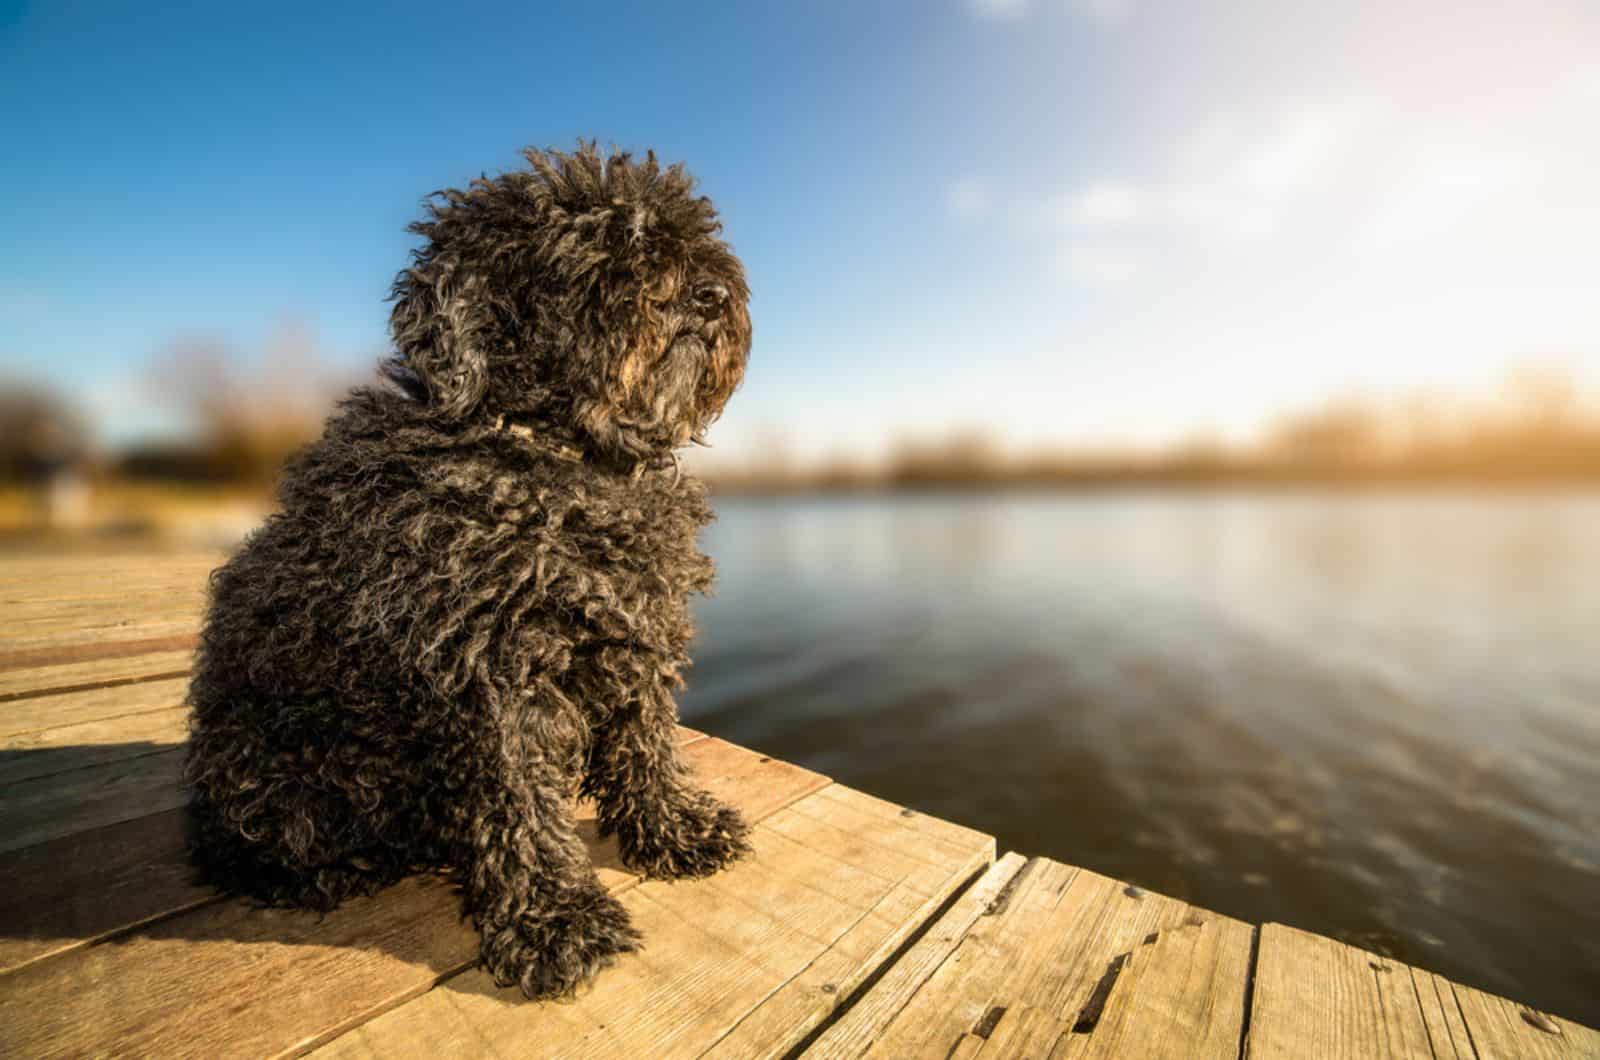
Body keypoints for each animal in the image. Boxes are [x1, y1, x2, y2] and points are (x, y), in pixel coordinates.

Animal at [184, 143, 758, 1005]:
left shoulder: (633, 631)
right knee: (266, 853)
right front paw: (557, 921)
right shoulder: (495, 675)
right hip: (278, 775)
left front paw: (675, 828)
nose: (711, 292)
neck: (563, 458)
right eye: (592, 240)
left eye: (691, 234)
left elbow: (645, 740)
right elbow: (522, 809)